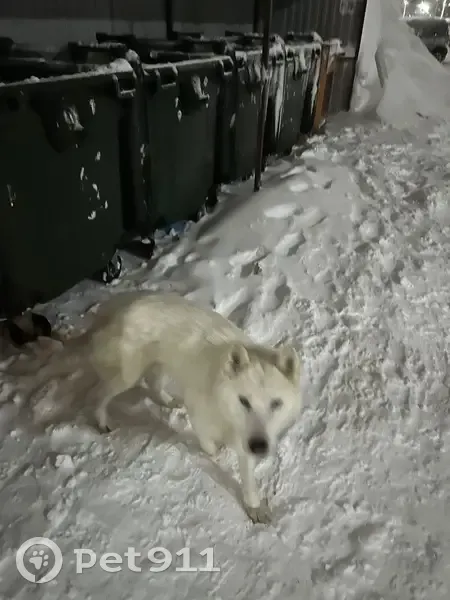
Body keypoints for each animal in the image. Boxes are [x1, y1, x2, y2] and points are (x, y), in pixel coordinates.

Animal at [28, 291, 302, 523]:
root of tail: (111, 310)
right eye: (244, 401)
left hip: (158, 364)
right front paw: (214, 454)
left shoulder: (246, 437)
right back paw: (102, 421)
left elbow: (247, 476)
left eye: (276, 404)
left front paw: (253, 506)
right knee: (100, 394)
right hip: (127, 375)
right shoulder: (202, 414)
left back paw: (168, 401)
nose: (260, 447)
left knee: (152, 384)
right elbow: (210, 446)